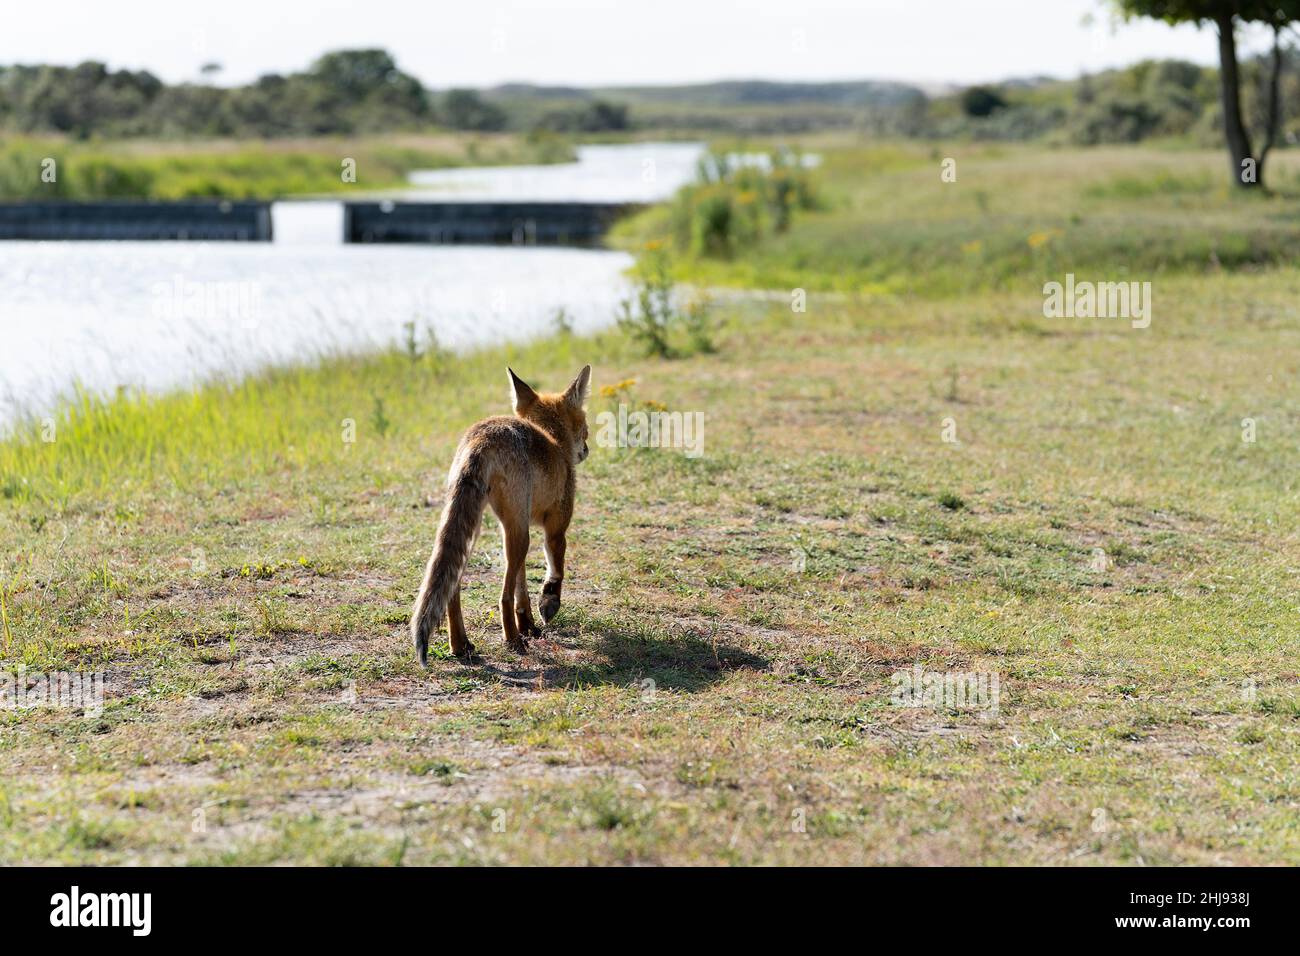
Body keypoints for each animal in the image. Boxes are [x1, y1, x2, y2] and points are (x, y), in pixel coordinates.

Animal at [408, 366, 592, 665]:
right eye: (585, 425)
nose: (586, 450)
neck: (553, 441)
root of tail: (482, 437)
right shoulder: (555, 528)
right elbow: (555, 569)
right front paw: (548, 603)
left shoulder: (522, 522)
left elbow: (522, 589)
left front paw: (529, 625)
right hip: (516, 534)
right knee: (502, 596)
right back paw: (512, 640)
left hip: (478, 529)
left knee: (452, 590)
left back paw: (460, 645)